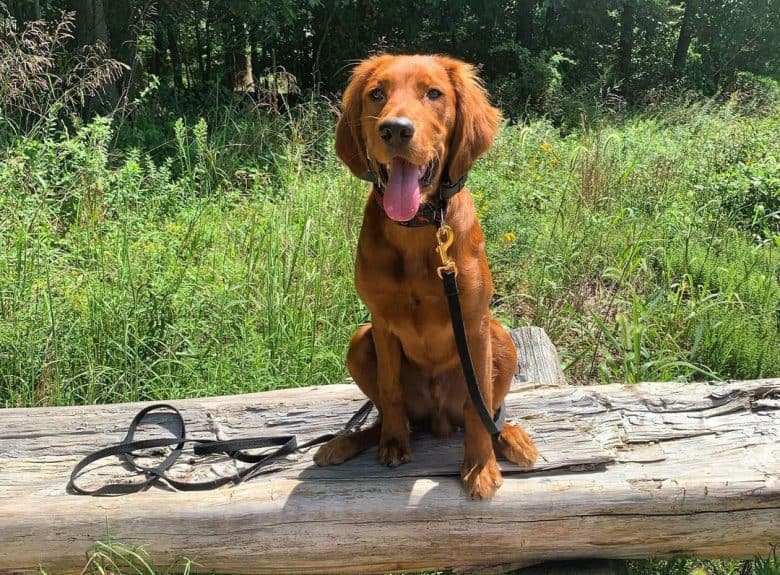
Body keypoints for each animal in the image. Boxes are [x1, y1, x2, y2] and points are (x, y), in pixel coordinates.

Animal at [310, 56, 536, 502]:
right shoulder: (380, 323)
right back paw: (347, 443)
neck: (416, 229)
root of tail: (438, 418)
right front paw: (394, 444)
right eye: (376, 93)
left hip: (500, 338)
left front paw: (480, 466)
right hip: (359, 341)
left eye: (434, 93)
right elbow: (391, 391)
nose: (395, 129)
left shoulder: (474, 322)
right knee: (384, 414)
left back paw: (510, 438)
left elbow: (480, 407)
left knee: (487, 412)